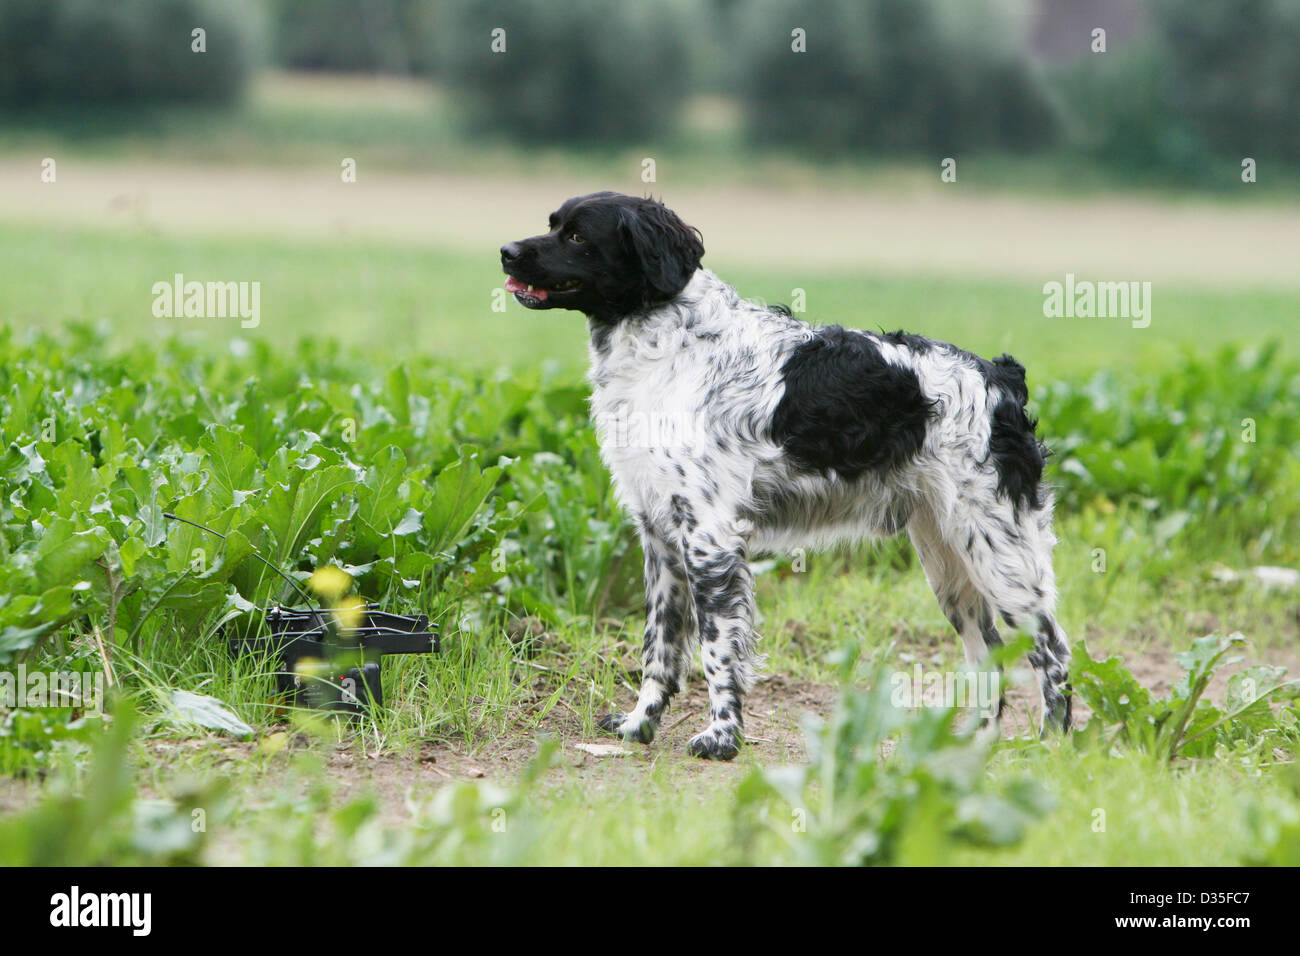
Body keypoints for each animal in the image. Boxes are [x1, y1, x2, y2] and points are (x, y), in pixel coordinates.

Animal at [496, 192, 1066, 764]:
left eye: (577, 236)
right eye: (552, 224)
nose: (506, 251)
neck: (670, 344)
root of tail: (1000, 376)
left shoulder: (709, 536)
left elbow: (716, 648)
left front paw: (722, 736)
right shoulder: (659, 536)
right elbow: (658, 649)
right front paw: (640, 725)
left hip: (1000, 554)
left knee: (1053, 650)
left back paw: (1053, 746)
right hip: (947, 559)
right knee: (989, 652)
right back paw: (970, 747)